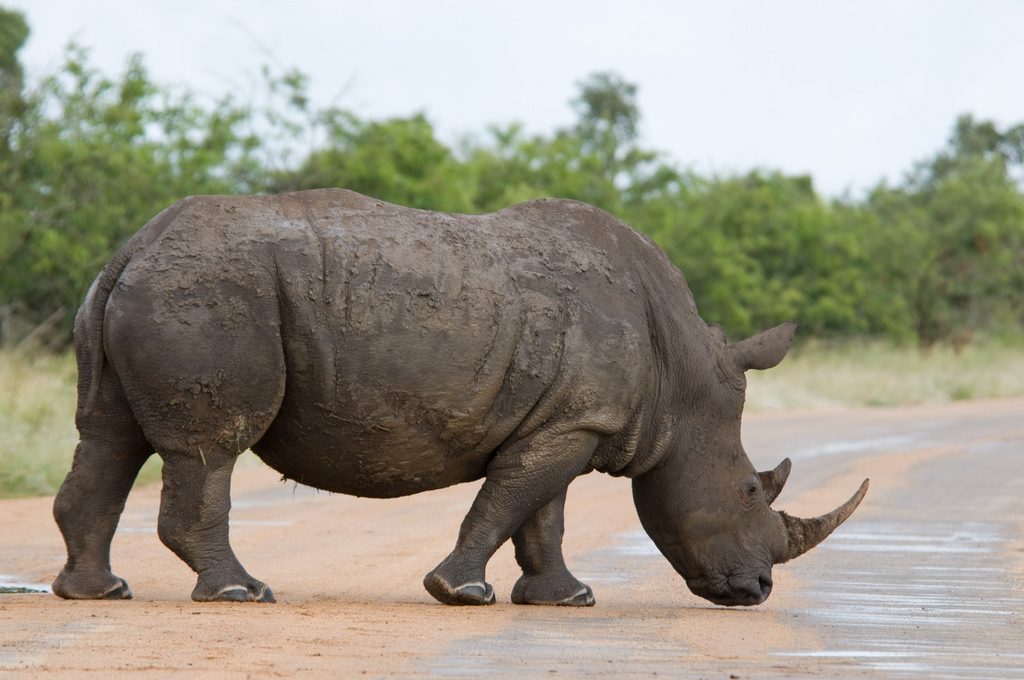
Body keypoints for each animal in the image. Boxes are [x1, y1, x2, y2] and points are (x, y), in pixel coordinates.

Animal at [53, 188, 867, 607]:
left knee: (109, 439)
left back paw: (98, 592)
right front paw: (461, 592)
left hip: (148, 291)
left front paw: (564, 600)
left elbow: (544, 516)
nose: (758, 590)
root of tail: (136, 245)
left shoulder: (569, 419)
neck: (684, 382)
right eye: (749, 490)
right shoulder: (573, 421)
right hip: (211, 294)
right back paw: (241, 594)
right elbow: (508, 503)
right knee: (209, 450)